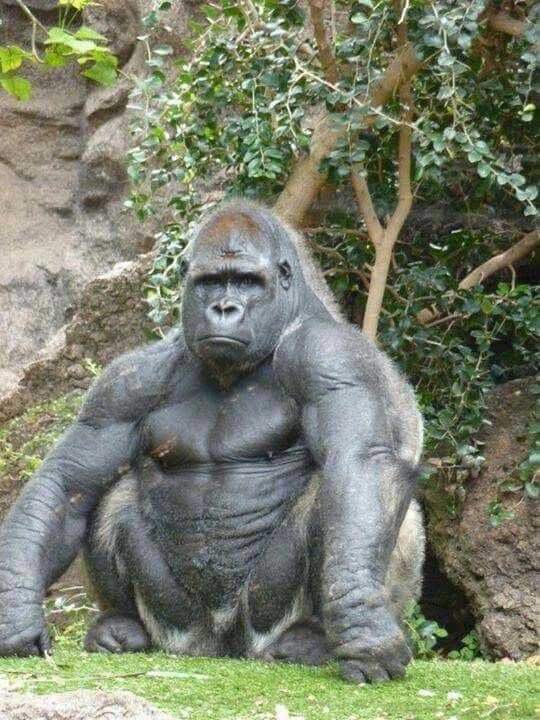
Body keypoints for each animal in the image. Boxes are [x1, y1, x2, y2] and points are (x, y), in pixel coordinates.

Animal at [0, 200, 424, 684]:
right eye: (209, 283)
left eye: (246, 281)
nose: (224, 307)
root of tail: (220, 648)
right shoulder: (126, 381)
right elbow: (67, 483)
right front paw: (14, 614)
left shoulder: (331, 356)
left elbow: (359, 465)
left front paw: (363, 629)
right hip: (180, 626)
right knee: (112, 495)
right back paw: (123, 625)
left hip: (259, 623)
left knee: (361, 497)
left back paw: (312, 637)